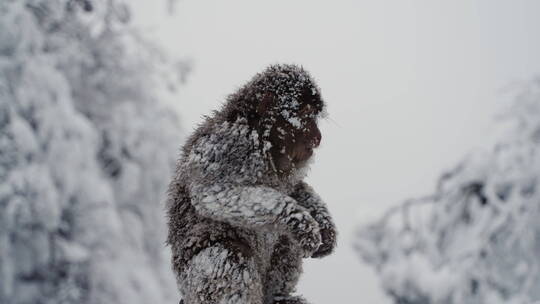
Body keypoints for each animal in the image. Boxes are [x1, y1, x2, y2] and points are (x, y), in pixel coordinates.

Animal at [168, 64, 338, 304]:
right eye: (305, 113)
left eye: (314, 115)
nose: (317, 137)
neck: (264, 142)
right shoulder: (227, 145)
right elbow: (211, 194)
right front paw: (299, 221)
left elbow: (296, 189)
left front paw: (325, 225)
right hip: (192, 284)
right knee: (229, 252)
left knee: (284, 239)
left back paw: (278, 296)